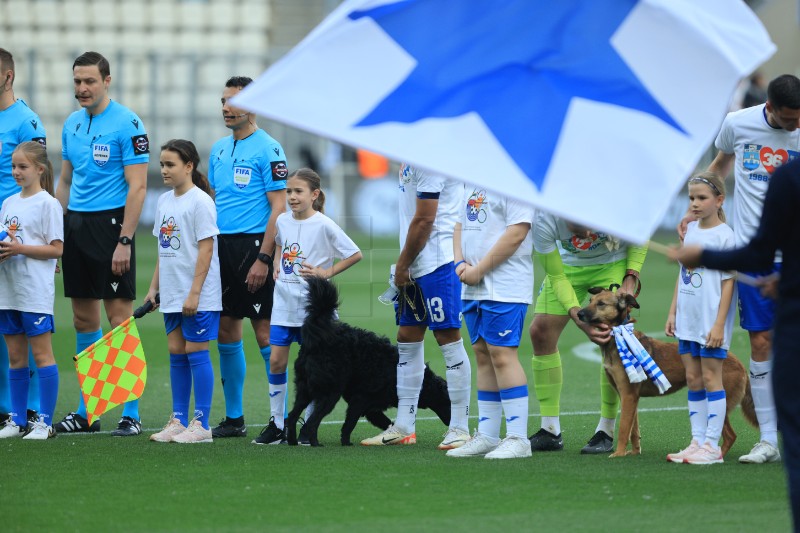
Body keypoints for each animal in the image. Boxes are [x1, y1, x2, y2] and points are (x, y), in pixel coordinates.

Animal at [286, 274, 450, 444]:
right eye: (449, 401)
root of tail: (318, 339)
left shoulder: (372, 406)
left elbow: (385, 422)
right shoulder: (360, 400)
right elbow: (350, 423)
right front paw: (347, 443)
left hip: (304, 391)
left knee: (291, 417)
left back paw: (292, 441)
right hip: (330, 393)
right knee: (311, 423)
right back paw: (315, 444)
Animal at [580, 286, 752, 458]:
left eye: (601, 304)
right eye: (590, 301)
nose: (579, 313)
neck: (618, 336)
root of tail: (741, 364)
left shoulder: (628, 395)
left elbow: (623, 429)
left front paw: (618, 454)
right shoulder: (629, 398)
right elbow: (633, 430)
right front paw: (634, 452)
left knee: (730, 436)